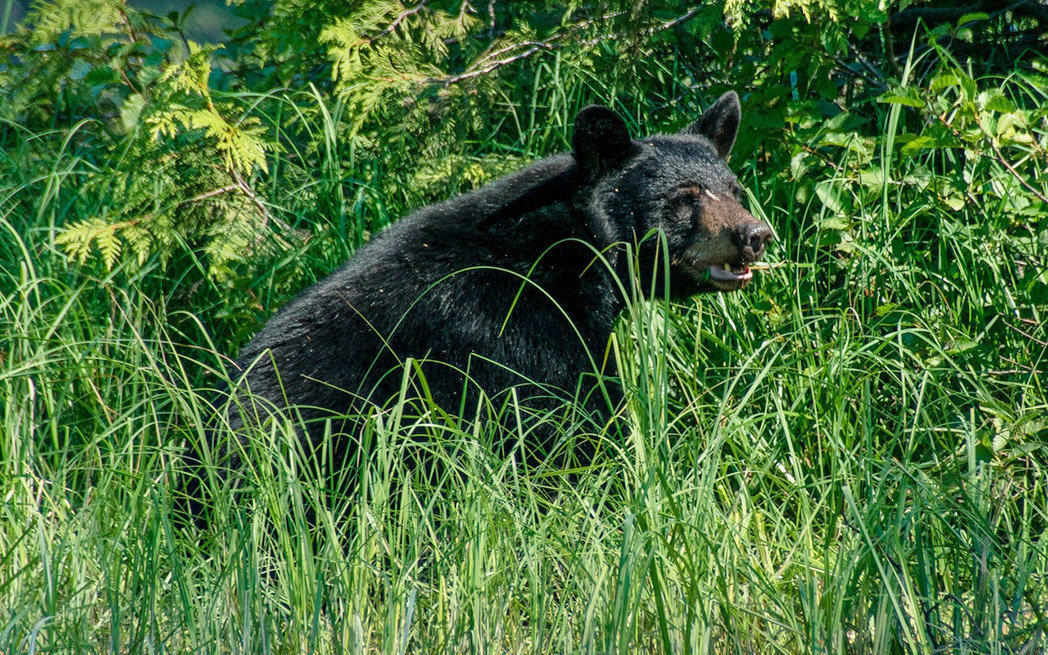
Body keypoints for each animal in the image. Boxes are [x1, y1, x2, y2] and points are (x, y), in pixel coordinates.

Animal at [221, 91, 772, 458]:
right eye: (685, 196)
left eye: (735, 189)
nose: (756, 234)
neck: (569, 252)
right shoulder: (516, 328)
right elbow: (570, 417)